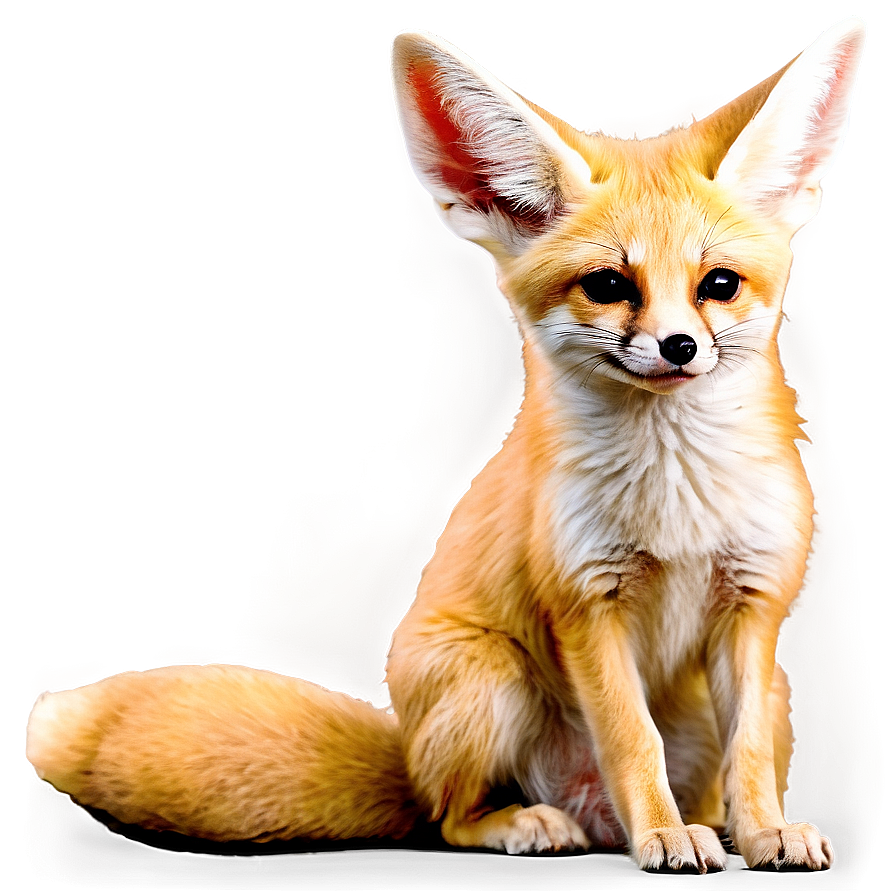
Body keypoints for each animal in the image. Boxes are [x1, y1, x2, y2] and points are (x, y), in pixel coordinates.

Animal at [26, 17, 866, 874]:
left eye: (718, 284)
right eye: (608, 286)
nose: (679, 348)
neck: (677, 502)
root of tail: (405, 753)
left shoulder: (755, 601)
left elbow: (748, 754)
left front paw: (765, 834)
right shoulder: (587, 602)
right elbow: (634, 743)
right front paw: (663, 837)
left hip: (779, 692)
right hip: (491, 678)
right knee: (449, 818)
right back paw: (530, 823)